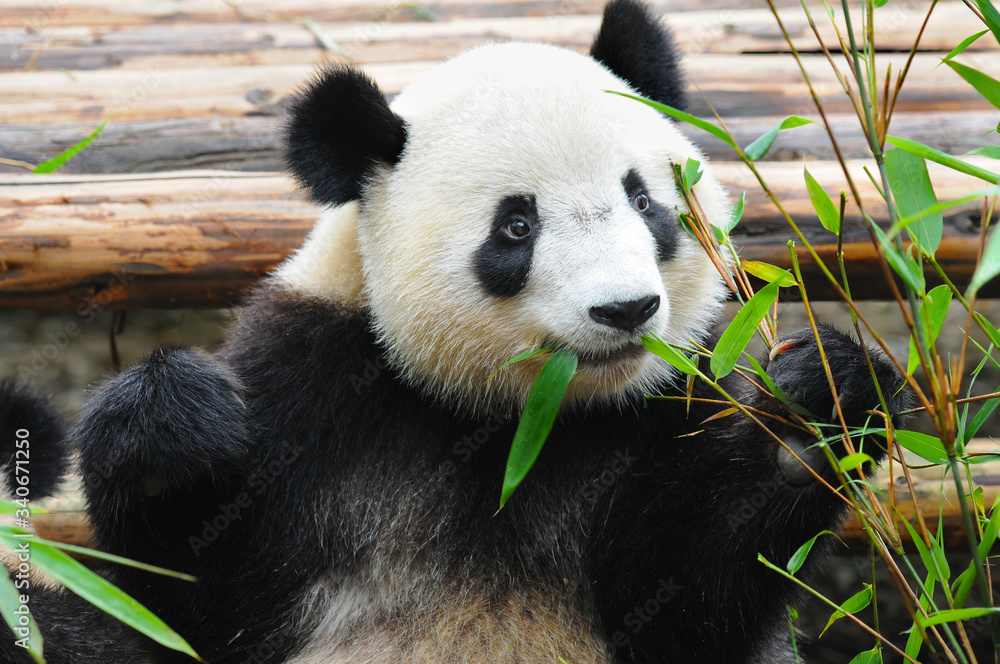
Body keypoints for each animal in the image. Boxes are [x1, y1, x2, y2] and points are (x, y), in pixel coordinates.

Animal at [0, 1, 910, 662]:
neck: (509, 421)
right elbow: (184, 603)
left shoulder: (674, 391)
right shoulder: (313, 390)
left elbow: (691, 594)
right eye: (517, 226)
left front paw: (816, 406)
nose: (625, 312)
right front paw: (173, 429)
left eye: (645, 201)